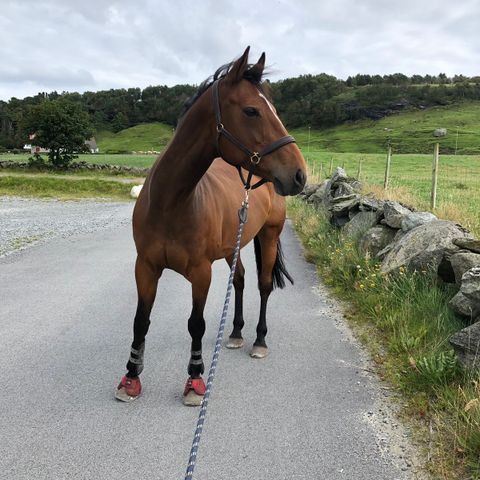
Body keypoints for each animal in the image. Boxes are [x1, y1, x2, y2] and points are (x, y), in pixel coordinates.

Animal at [114, 47, 306, 404]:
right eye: (251, 110)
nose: (300, 174)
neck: (171, 204)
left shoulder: (201, 273)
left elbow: (196, 324)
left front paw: (195, 380)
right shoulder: (145, 266)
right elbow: (140, 321)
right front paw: (130, 378)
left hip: (269, 236)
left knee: (263, 285)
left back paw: (259, 340)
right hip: (235, 244)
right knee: (241, 281)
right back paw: (236, 332)